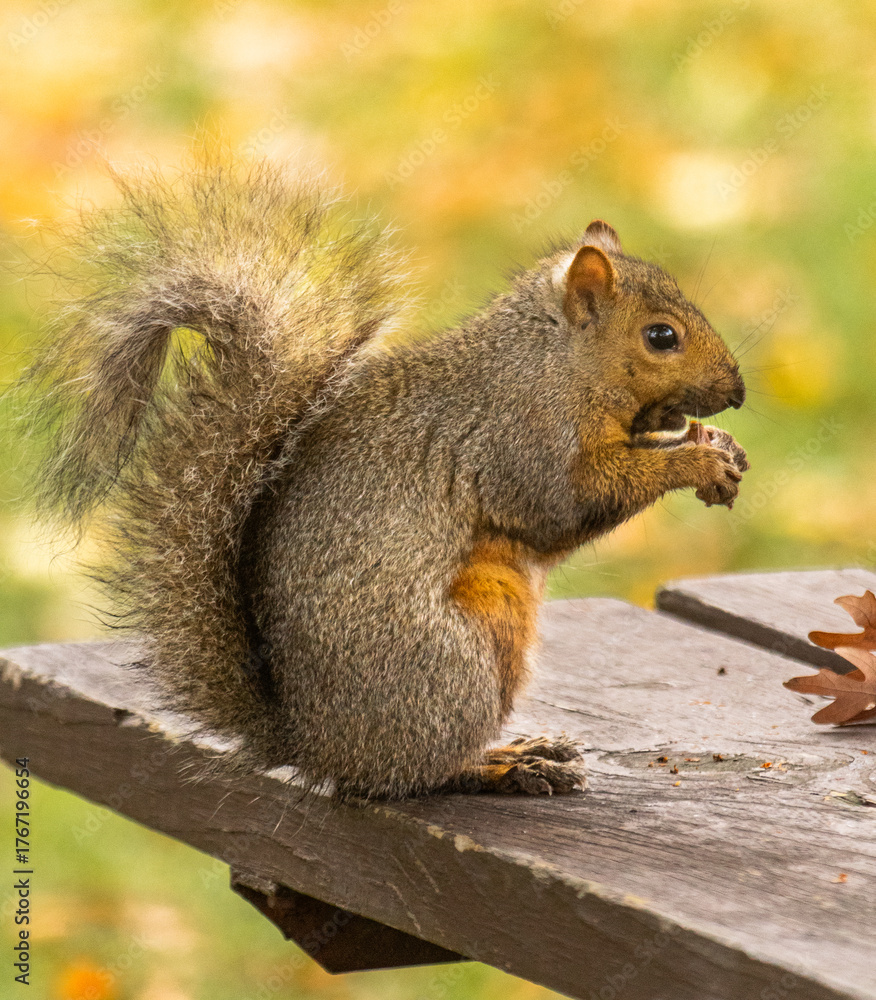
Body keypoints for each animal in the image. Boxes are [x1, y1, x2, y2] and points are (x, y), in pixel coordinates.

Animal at [24, 158, 748, 800]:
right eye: (661, 336)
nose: (738, 393)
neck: (556, 362)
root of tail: (316, 747)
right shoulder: (519, 438)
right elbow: (564, 506)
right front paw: (694, 459)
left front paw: (715, 445)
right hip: (457, 662)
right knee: (417, 774)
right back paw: (501, 766)